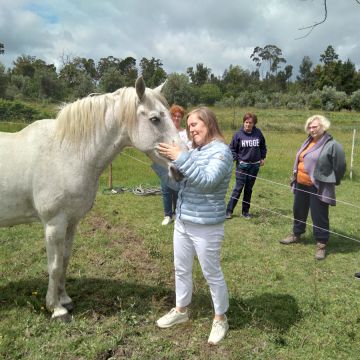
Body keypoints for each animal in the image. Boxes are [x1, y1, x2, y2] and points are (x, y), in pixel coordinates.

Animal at [0, 78, 183, 320]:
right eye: (155, 119)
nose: (180, 169)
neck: (66, 153)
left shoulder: (71, 222)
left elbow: (65, 260)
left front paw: (65, 299)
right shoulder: (54, 224)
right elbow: (54, 266)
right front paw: (56, 308)